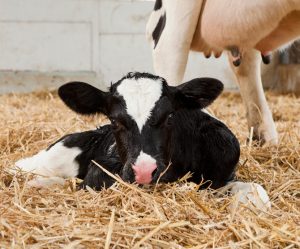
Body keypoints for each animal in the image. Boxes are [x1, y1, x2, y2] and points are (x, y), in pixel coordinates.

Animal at [15, 71, 270, 208]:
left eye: (169, 116)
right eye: (115, 121)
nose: (145, 171)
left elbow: (256, 191)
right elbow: (92, 181)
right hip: (49, 157)